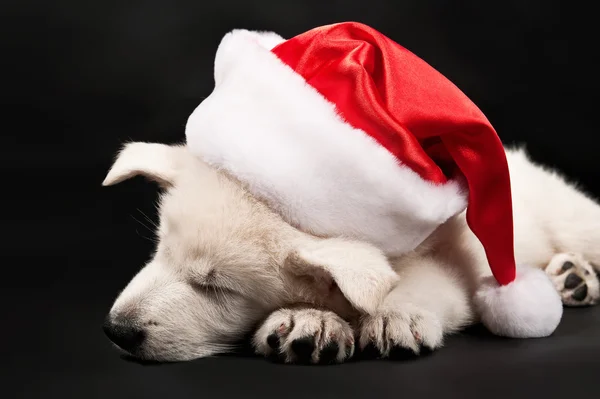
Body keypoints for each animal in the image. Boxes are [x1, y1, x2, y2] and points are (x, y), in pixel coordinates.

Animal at [103, 142, 600, 364]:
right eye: (160, 251)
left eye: (216, 287)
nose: (116, 331)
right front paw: (311, 320)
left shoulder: (463, 248)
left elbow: (427, 278)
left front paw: (394, 313)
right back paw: (571, 278)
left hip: (568, 216)